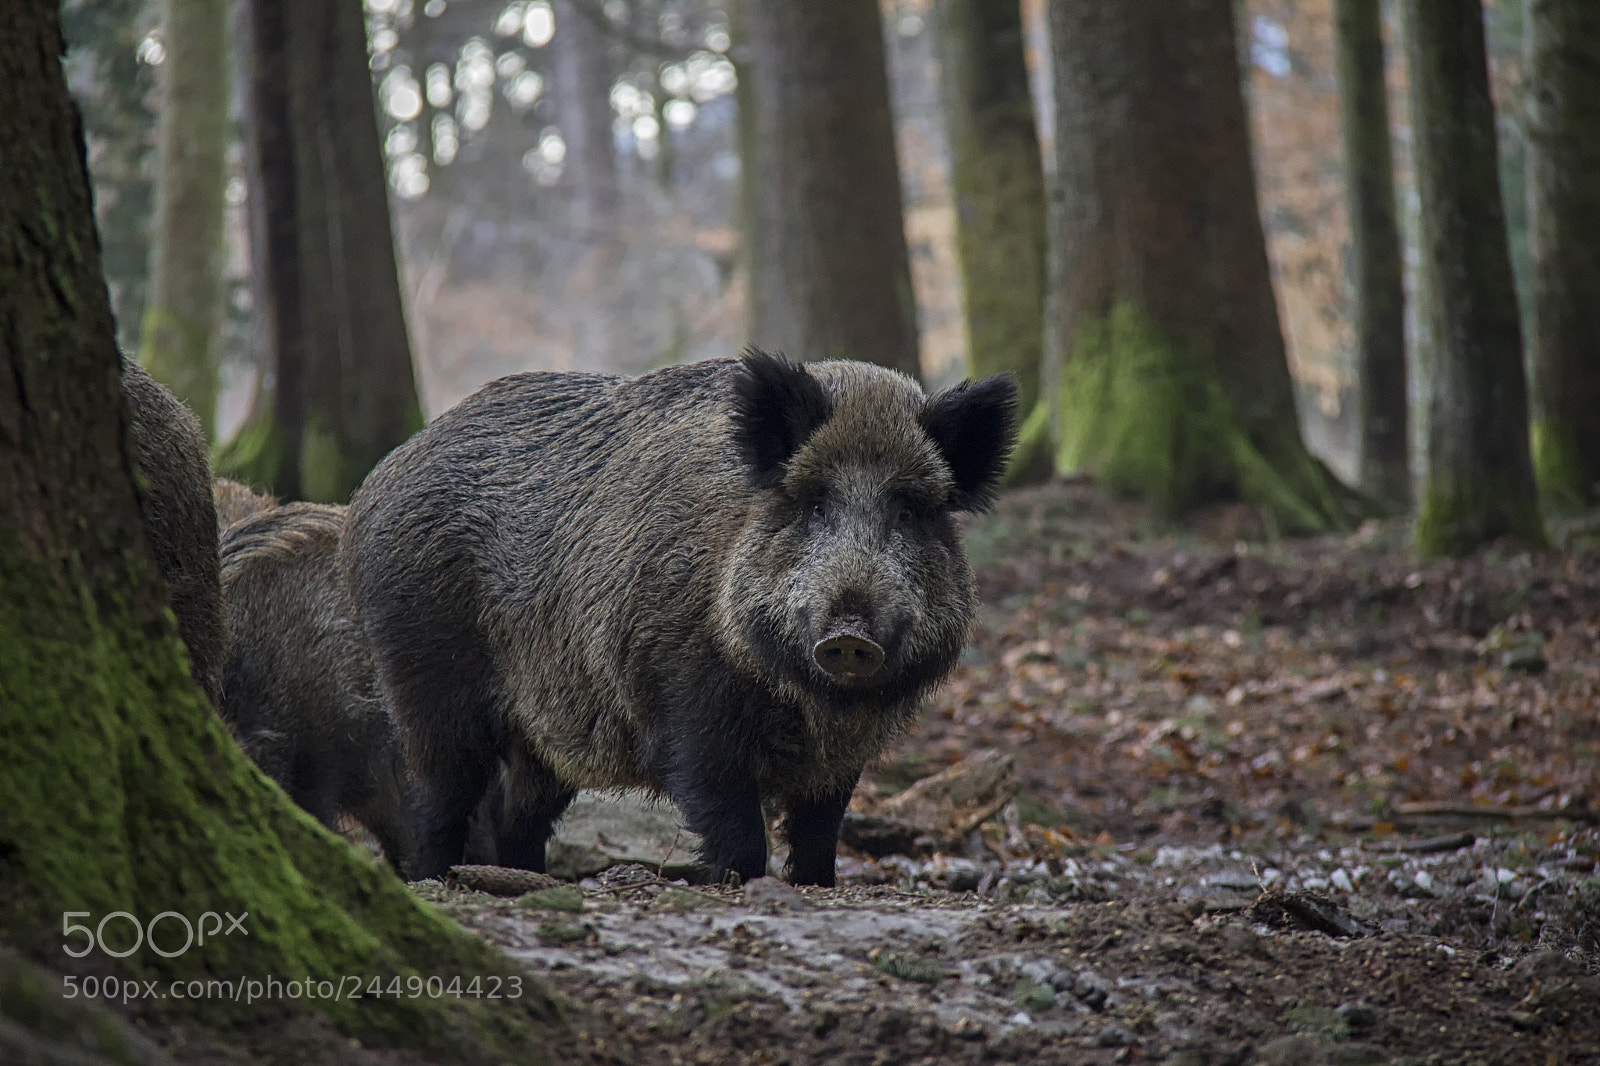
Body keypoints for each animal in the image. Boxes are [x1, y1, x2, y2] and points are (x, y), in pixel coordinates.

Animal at [343, 350, 1017, 884]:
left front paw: (815, 885)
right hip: (424, 676)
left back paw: (525, 880)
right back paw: (436, 880)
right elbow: (733, 824)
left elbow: (820, 832)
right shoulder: (685, 700)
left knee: (518, 816)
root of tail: (370, 488)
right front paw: (737, 882)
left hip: (546, 726)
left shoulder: (843, 755)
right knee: (437, 797)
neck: (809, 703)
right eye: (815, 503)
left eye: (908, 511)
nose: (850, 636)